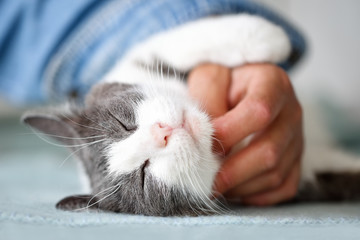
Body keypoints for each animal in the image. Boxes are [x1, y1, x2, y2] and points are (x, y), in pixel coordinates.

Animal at [22, 15, 360, 218]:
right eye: (143, 176)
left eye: (123, 123)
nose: (162, 132)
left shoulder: (135, 59)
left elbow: (172, 43)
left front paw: (266, 36)